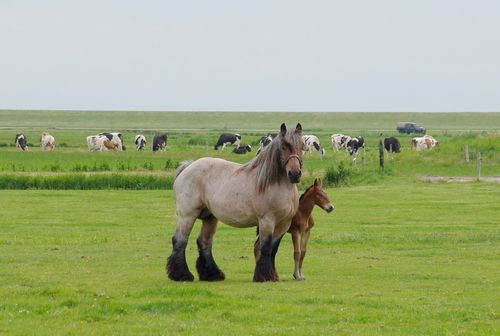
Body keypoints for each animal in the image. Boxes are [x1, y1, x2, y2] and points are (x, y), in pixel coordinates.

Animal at [166, 122, 302, 280]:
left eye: (302, 145)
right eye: (284, 146)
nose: (295, 174)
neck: (275, 184)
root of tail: (188, 166)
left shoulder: (283, 224)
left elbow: (273, 249)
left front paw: (272, 275)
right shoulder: (267, 221)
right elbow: (265, 248)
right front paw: (264, 276)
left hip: (210, 217)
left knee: (204, 242)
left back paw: (212, 274)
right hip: (187, 216)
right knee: (180, 240)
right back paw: (181, 275)